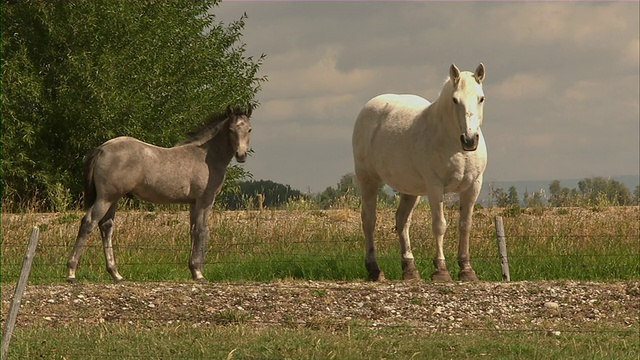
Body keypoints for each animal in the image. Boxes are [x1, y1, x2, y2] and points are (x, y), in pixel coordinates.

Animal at [67, 105, 252, 282]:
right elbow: (202, 230)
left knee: (106, 226)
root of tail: (102, 148)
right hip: (106, 198)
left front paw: (194, 270)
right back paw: (71, 273)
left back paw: (116, 274)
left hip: (114, 199)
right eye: (231, 129)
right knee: (89, 223)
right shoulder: (205, 200)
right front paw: (199, 273)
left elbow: (193, 231)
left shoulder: (193, 203)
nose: (241, 155)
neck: (205, 156)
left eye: (249, 129)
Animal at [352, 62, 488, 282]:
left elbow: (465, 225)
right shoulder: (435, 187)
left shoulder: (473, 186)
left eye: (481, 98)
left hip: (410, 190)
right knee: (369, 220)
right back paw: (375, 270)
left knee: (402, 221)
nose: (469, 140)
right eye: (455, 99)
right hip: (368, 180)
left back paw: (410, 270)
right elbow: (439, 225)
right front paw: (441, 271)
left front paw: (467, 270)